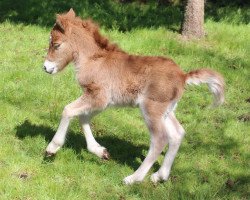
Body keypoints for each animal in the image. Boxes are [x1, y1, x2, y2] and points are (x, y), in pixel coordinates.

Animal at [43, 9, 225, 184]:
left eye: (56, 44)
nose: (46, 67)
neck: (94, 59)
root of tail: (183, 76)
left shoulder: (99, 97)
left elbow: (68, 110)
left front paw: (52, 148)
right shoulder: (103, 102)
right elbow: (83, 118)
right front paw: (101, 152)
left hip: (151, 109)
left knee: (160, 139)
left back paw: (133, 179)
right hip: (166, 110)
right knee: (177, 134)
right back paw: (160, 176)